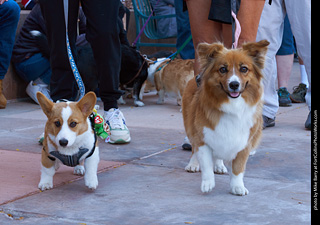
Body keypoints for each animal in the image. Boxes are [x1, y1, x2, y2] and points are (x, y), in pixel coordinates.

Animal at [181, 40, 268, 195]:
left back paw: (219, 166)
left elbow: (238, 168)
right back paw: (193, 164)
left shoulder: (244, 143)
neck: (233, 106)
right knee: (193, 149)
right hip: (190, 127)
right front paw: (208, 183)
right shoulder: (203, 138)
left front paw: (237, 187)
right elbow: (206, 165)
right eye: (222, 69)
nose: (234, 84)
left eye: (244, 69)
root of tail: (194, 77)